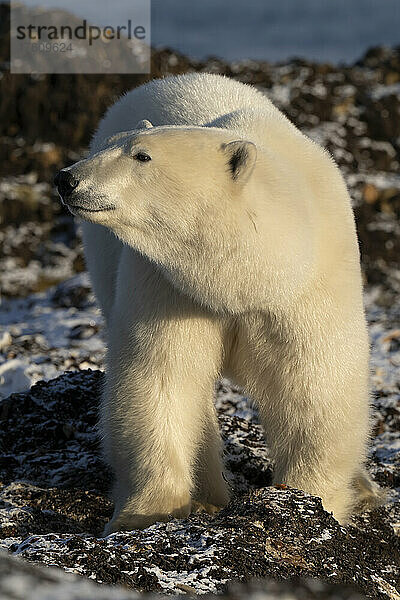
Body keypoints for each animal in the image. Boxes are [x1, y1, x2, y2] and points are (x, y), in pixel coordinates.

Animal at [54, 71, 382, 536]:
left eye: (142, 155)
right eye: (111, 147)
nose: (67, 178)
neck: (249, 276)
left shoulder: (308, 288)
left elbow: (316, 387)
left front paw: (309, 503)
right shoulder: (167, 282)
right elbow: (161, 378)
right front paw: (143, 515)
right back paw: (210, 493)